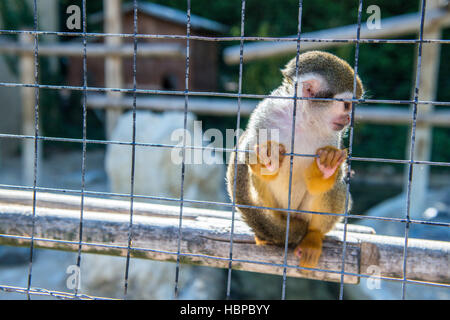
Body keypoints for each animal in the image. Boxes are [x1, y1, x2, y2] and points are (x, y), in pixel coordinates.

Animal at [227, 50, 364, 270]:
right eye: (346, 105)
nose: (349, 119)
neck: (303, 118)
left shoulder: (332, 136)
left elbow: (330, 177)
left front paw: (325, 168)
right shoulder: (266, 112)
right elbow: (251, 155)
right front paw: (269, 161)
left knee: (336, 188)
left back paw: (313, 236)